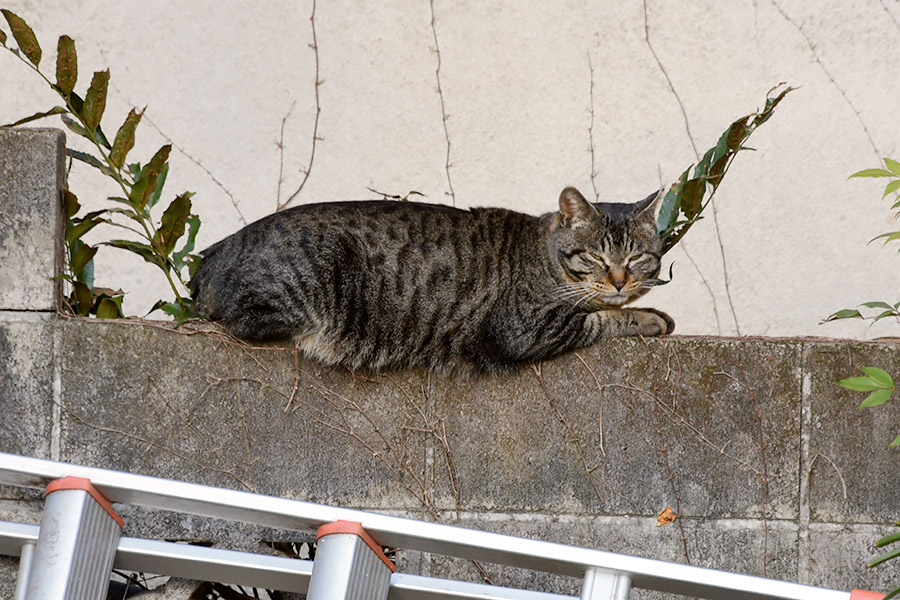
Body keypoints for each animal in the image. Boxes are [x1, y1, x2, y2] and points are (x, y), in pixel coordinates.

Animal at [193, 186, 680, 376]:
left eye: (636, 257)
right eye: (596, 256)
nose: (618, 281)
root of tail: (217, 249)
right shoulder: (523, 329)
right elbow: (599, 318)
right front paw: (649, 316)